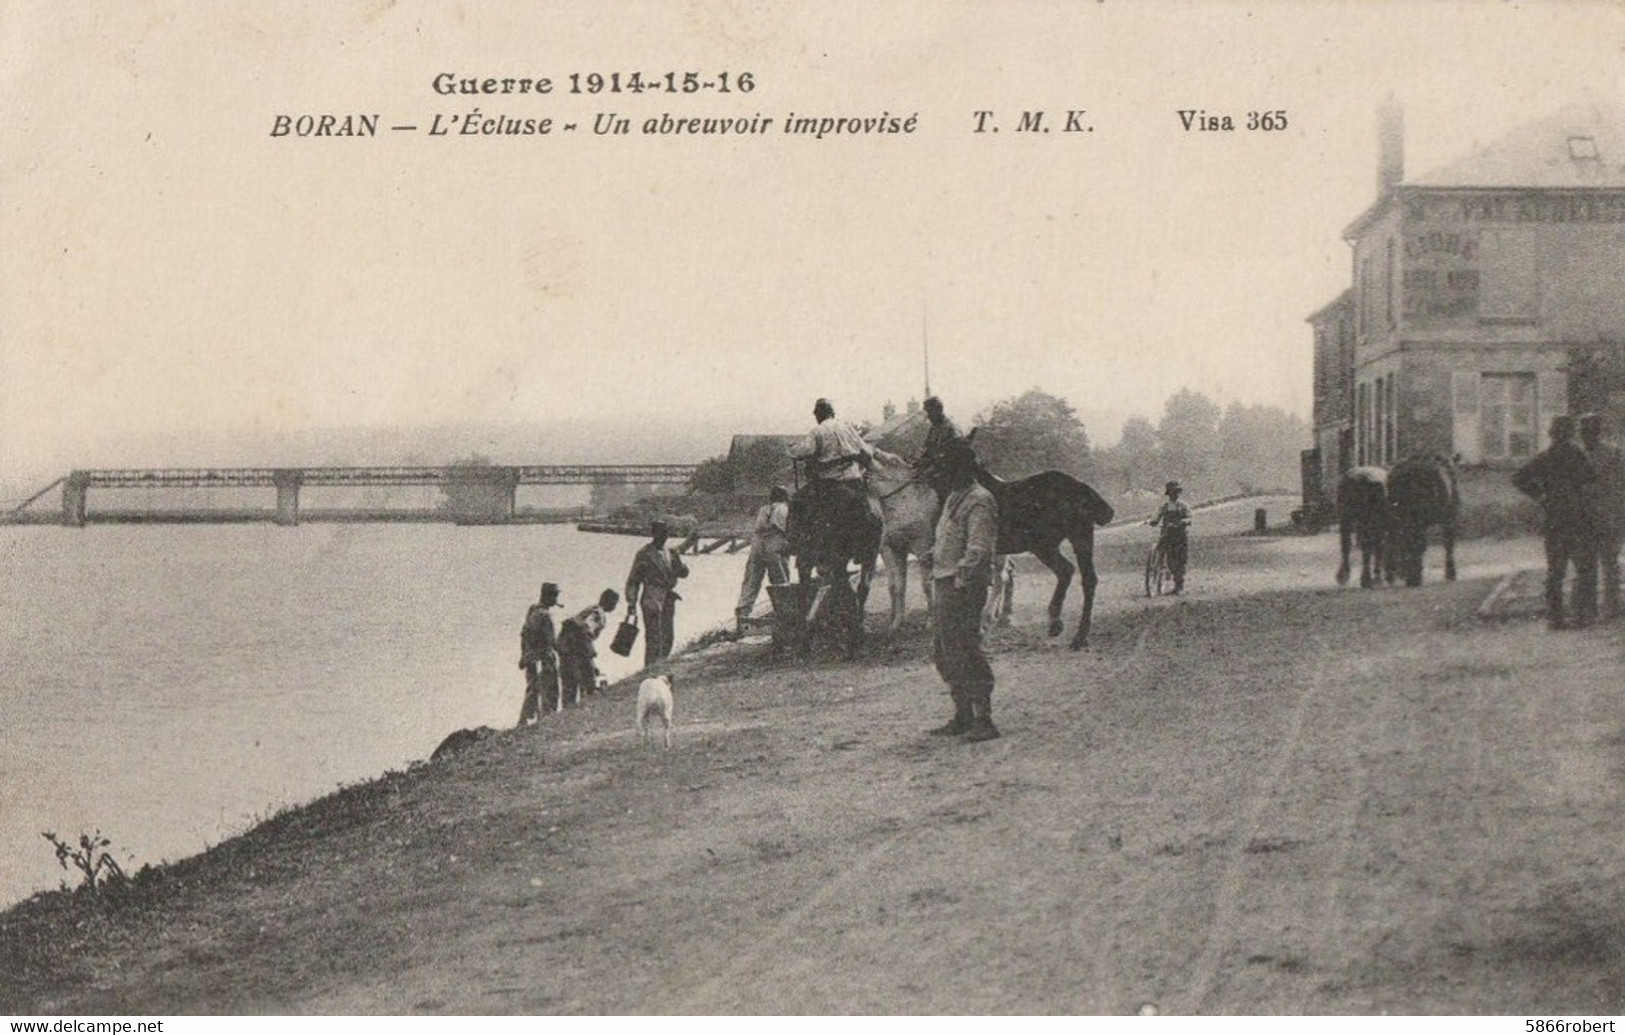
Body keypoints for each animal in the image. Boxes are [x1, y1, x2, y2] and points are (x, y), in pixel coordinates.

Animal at [968, 458, 1111, 649]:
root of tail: (1081, 488)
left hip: (1043, 544)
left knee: (1065, 570)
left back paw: (1056, 623)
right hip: (1080, 537)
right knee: (1087, 578)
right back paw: (1078, 635)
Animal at [1384, 454, 1462, 588]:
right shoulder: (1449, 517)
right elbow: (1448, 544)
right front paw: (1451, 574)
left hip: (1399, 517)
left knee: (1403, 542)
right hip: (1418, 518)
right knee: (1416, 543)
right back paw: (1414, 577)